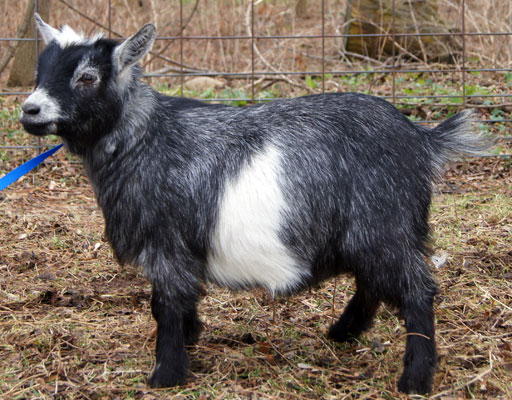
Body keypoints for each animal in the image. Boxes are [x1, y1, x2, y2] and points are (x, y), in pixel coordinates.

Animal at [19, 15, 490, 394]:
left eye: (87, 78)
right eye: (41, 71)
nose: (30, 110)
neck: (143, 139)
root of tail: (422, 140)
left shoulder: (167, 244)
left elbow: (167, 304)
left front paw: (166, 374)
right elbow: (174, 301)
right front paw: (192, 336)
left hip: (383, 225)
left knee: (417, 291)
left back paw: (415, 379)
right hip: (376, 233)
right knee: (372, 283)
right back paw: (342, 333)